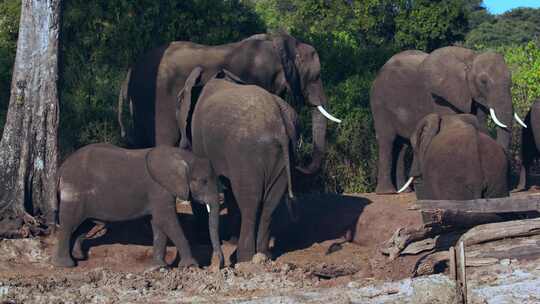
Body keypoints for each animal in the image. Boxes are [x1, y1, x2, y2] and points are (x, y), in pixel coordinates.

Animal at [49, 143, 220, 268]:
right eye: (203, 181)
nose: (218, 265)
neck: (181, 155)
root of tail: (61, 169)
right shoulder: (159, 189)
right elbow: (167, 220)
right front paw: (190, 266)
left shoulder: (158, 193)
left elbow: (158, 223)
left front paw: (159, 267)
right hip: (73, 192)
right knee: (69, 224)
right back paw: (66, 265)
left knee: (82, 225)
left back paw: (79, 256)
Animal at [118, 32, 340, 175]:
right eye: (315, 76)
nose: (301, 165)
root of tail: (131, 69)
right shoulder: (260, 77)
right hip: (155, 99)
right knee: (164, 138)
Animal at [177, 68, 298, 262]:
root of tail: (279, 124)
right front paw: (230, 240)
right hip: (285, 153)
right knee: (270, 203)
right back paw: (263, 256)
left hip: (247, 152)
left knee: (250, 202)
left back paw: (243, 258)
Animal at [370, 46, 524, 194]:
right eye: (483, 81)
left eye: (511, 80)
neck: (471, 59)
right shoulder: (441, 97)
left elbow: (480, 124)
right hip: (379, 104)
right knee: (387, 140)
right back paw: (387, 193)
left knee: (402, 145)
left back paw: (404, 191)